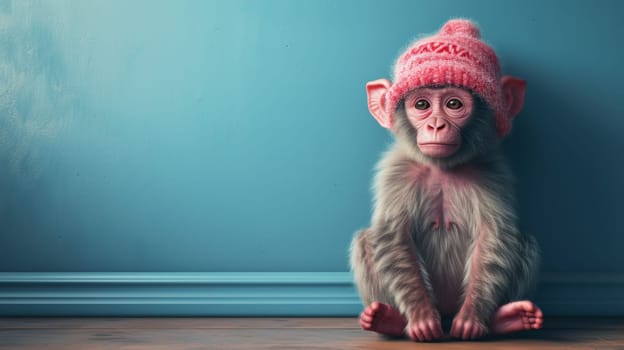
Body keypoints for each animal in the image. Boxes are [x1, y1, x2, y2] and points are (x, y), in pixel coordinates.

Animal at [348, 19, 544, 342]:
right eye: (422, 105)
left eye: (453, 104)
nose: (436, 125)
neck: (442, 168)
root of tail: (447, 313)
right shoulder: (396, 171)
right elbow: (393, 236)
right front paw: (420, 317)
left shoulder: (492, 171)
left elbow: (494, 236)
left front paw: (473, 318)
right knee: (366, 240)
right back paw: (389, 320)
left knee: (524, 241)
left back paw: (506, 319)